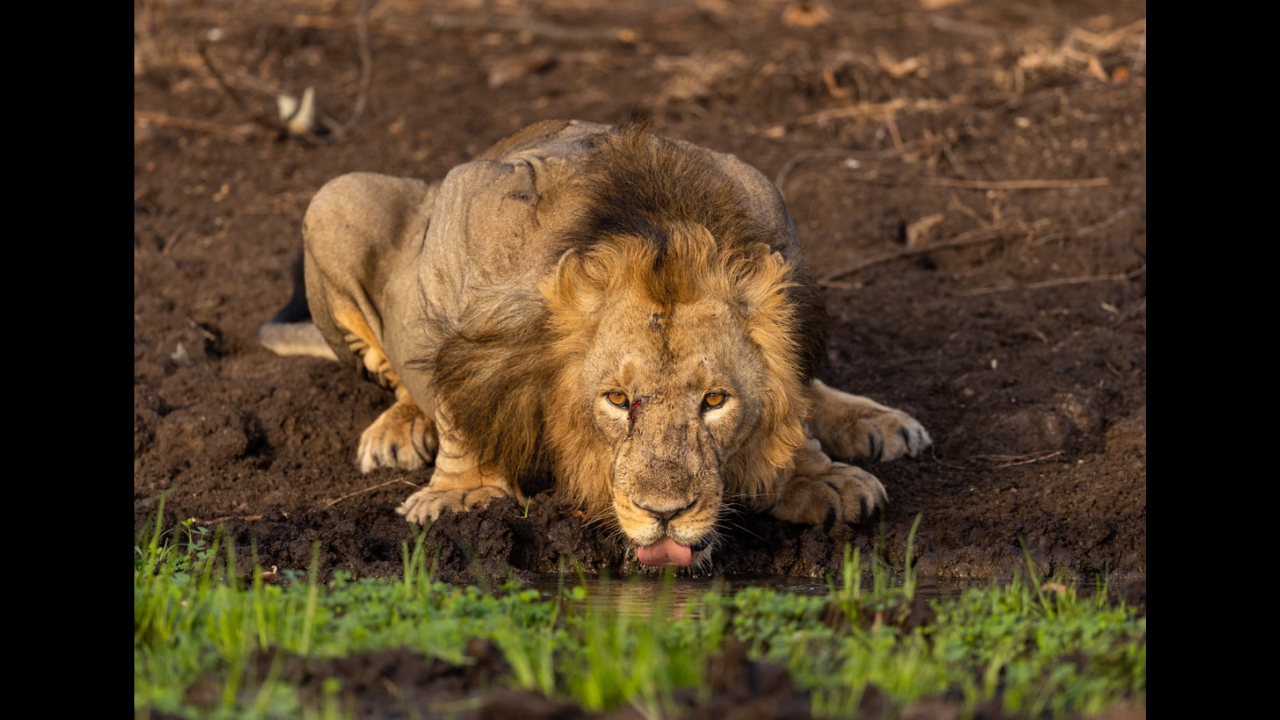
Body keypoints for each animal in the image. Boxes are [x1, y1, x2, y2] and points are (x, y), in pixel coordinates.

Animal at [257, 119, 931, 566]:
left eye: (715, 401)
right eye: (617, 400)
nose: (666, 514)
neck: (659, 227)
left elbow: (793, 401)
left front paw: (817, 475)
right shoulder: (458, 231)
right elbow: (456, 401)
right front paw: (464, 494)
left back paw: (879, 422)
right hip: (336, 196)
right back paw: (399, 430)